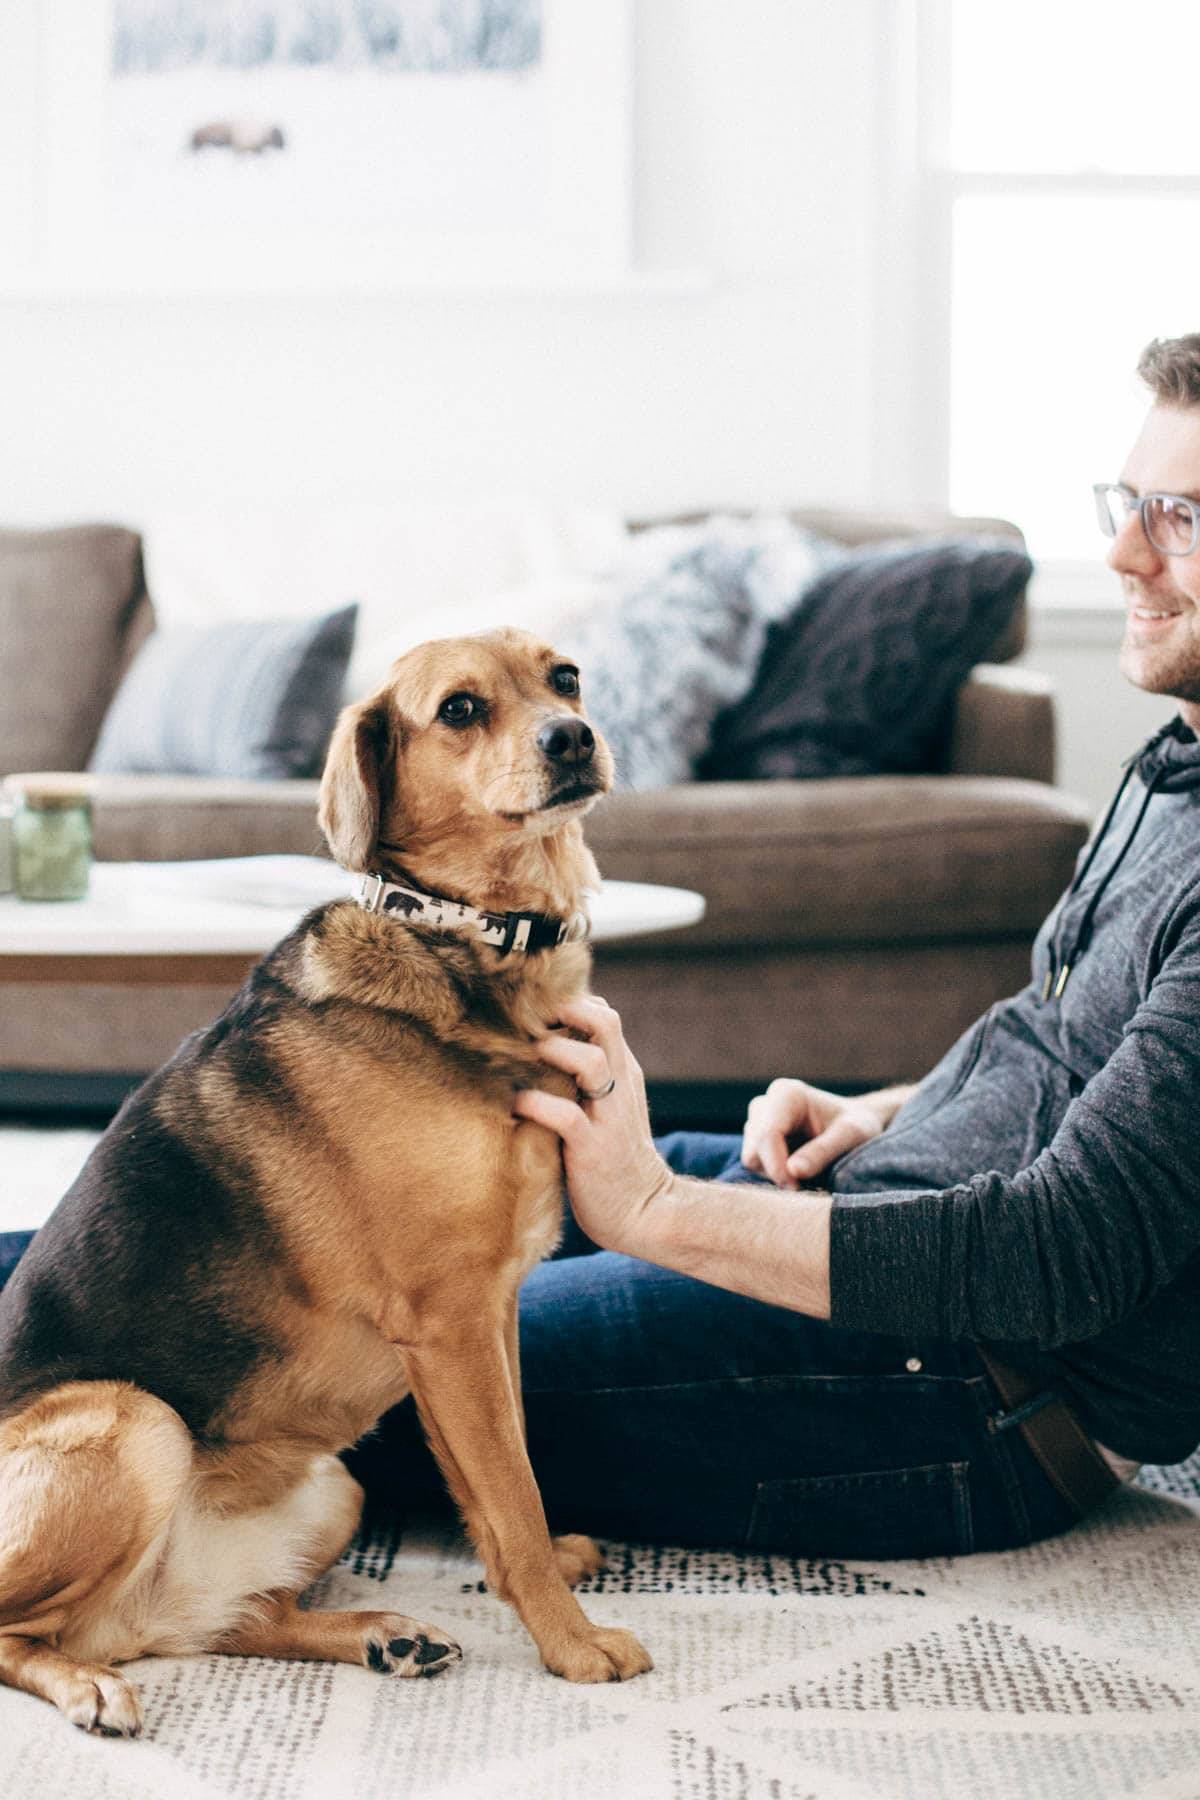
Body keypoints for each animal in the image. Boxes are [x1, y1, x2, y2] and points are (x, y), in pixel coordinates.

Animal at [0, 630, 651, 1728]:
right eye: (460, 709)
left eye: (564, 678)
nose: (573, 738)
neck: (461, 940)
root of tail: (128, 1625)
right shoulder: (450, 1323)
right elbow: (509, 1493)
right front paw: (571, 1643)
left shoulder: (491, 1317)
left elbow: (506, 1476)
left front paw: (540, 1583)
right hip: (136, 1426)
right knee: (27, 1636)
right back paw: (88, 1684)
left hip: (334, 1488)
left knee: (234, 1621)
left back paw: (381, 1633)